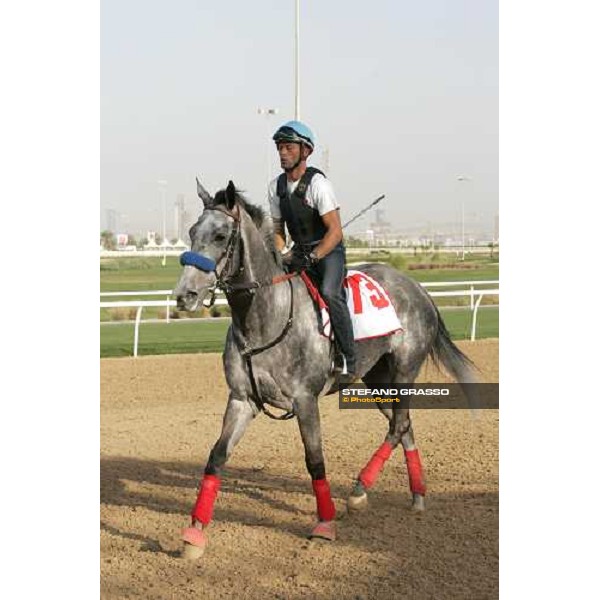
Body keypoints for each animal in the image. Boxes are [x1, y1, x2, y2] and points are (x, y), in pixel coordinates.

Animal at [175, 178, 478, 556]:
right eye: (191, 231)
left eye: (219, 235)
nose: (184, 295)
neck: (265, 318)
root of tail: (417, 287)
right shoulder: (242, 399)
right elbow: (217, 456)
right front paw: (195, 532)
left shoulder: (306, 400)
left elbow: (315, 459)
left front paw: (325, 523)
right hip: (378, 380)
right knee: (404, 425)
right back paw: (417, 495)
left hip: (405, 370)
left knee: (398, 426)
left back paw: (360, 490)